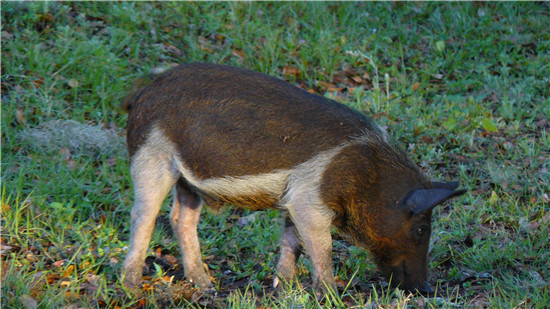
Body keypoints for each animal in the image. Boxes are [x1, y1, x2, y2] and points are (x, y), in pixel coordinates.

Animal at [121, 62, 466, 296]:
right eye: (421, 229)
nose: (425, 288)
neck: (370, 177)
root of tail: (144, 91)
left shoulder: (292, 198)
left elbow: (292, 242)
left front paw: (284, 290)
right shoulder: (308, 200)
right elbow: (322, 248)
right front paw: (331, 295)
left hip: (187, 180)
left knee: (181, 218)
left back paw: (207, 286)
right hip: (151, 157)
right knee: (143, 214)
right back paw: (133, 286)